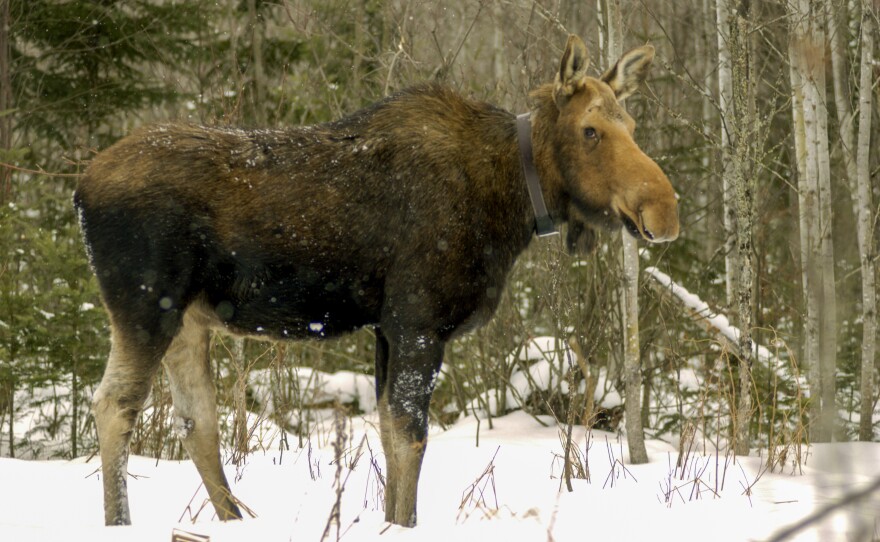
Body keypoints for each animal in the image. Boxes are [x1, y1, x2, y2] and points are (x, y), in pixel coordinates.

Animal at [74, 34, 678, 528]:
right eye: (591, 130)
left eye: (631, 126)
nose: (663, 209)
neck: (513, 205)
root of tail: (80, 189)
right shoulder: (418, 320)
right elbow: (411, 437)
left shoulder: (388, 328)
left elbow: (389, 433)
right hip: (145, 307)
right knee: (113, 405)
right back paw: (120, 522)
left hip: (189, 322)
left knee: (195, 419)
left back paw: (233, 519)